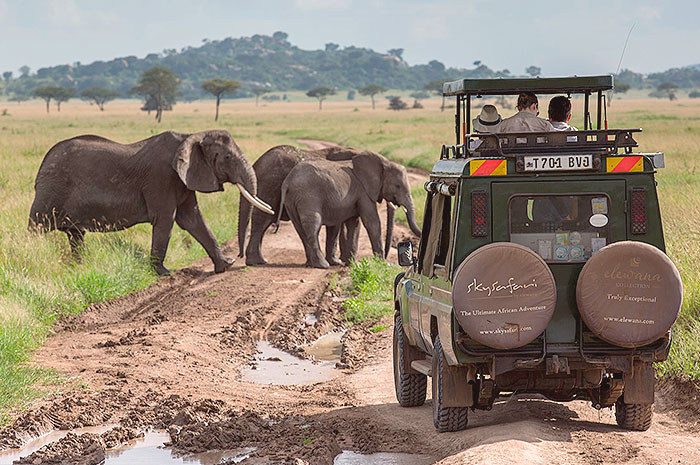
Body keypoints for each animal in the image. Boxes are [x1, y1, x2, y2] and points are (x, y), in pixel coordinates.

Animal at [28, 130, 274, 276]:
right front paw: (163, 273)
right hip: (51, 191)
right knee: (38, 227)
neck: (191, 136)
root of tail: (43, 163)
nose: (239, 257)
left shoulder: (184, 179)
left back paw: (79, 266)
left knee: (75, 234)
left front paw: (225, 266)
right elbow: (166, 220)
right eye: (227, 158)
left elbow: (194, 220)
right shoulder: (161, 178)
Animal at [278, 151, 422, 268]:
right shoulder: (364, 192)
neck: (383, 162)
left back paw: (311, 263)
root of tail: (287, 182)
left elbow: (355, 224)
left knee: (300, 230)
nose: (386, 258)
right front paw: (380, 263)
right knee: (313, 226)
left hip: (292, 201)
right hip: (307, 197)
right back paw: (322, 265)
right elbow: (372, 222)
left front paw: (353, 264)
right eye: (397, 186)